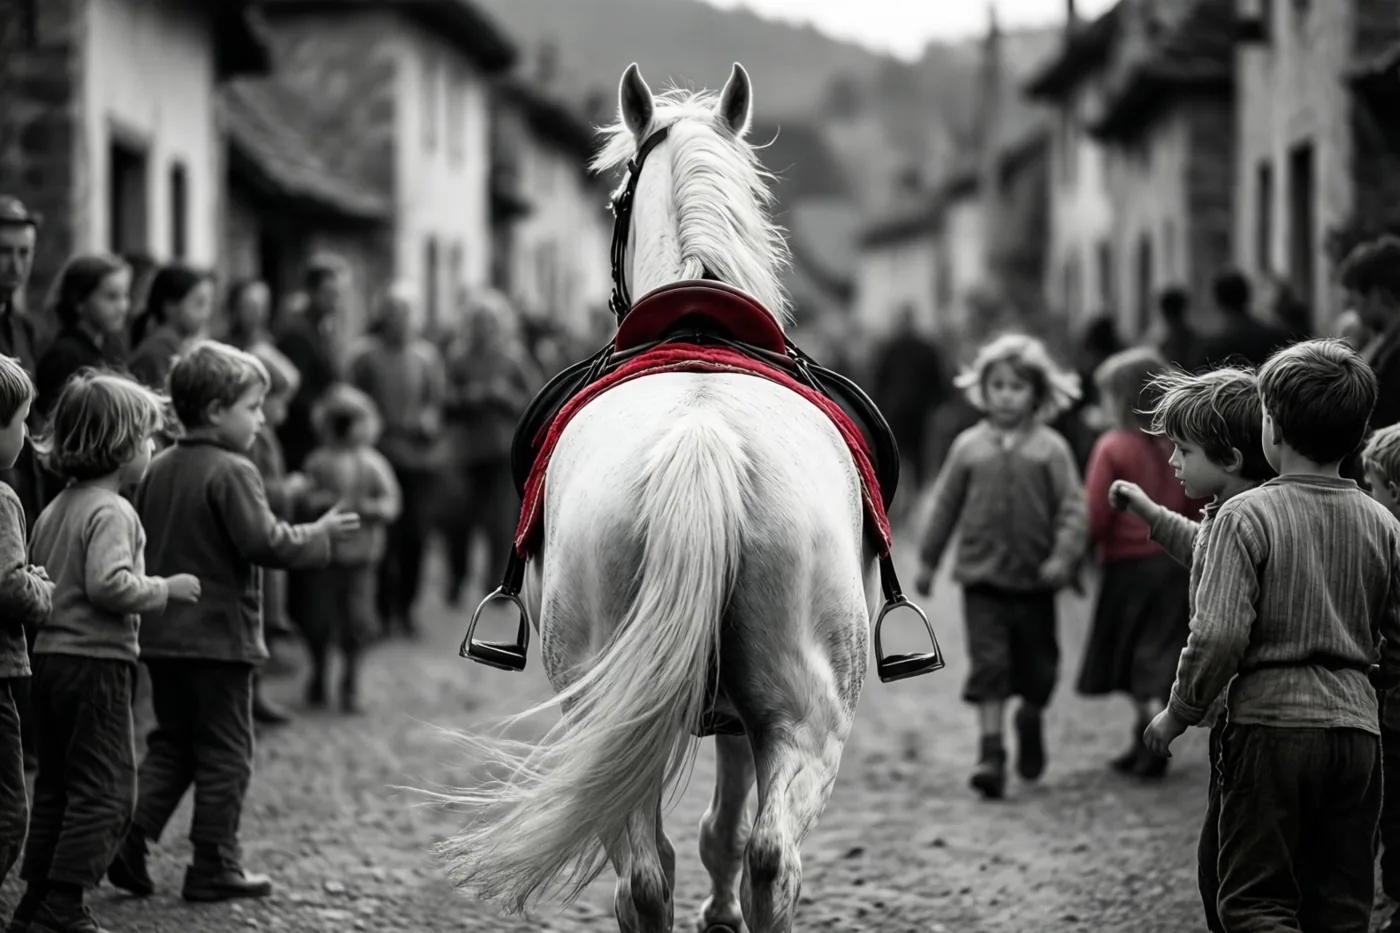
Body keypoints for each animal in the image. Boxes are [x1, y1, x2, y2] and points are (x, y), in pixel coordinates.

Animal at [434, 63, 888, 933]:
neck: (702, 322)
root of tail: (700, 440)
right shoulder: (745, 720)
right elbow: (724, 828)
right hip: (803, 713)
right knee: (760, 858)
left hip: (620, 707)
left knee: (655, 874)